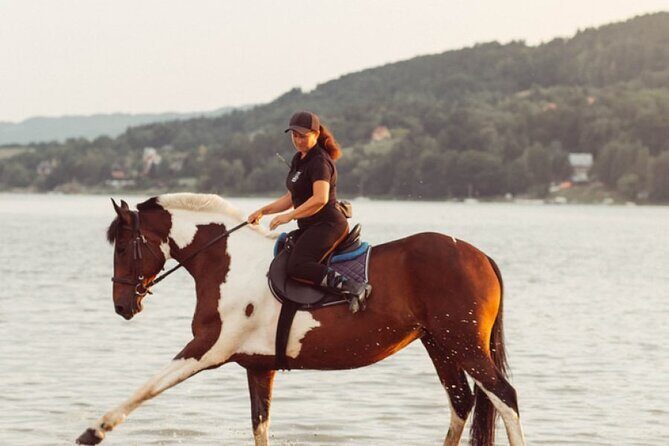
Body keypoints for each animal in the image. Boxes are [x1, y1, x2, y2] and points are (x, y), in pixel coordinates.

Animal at [76, 193, 526, 446]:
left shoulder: (208, 348)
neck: (227, 261)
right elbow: (260, 427)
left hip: (462, 342)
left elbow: (148, 387)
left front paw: (94, 430)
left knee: (504, 397)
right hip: (439, 344)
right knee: (462, 402)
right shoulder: (258, 366)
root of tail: (479, 255)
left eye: (122, 248)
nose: (122, 305)